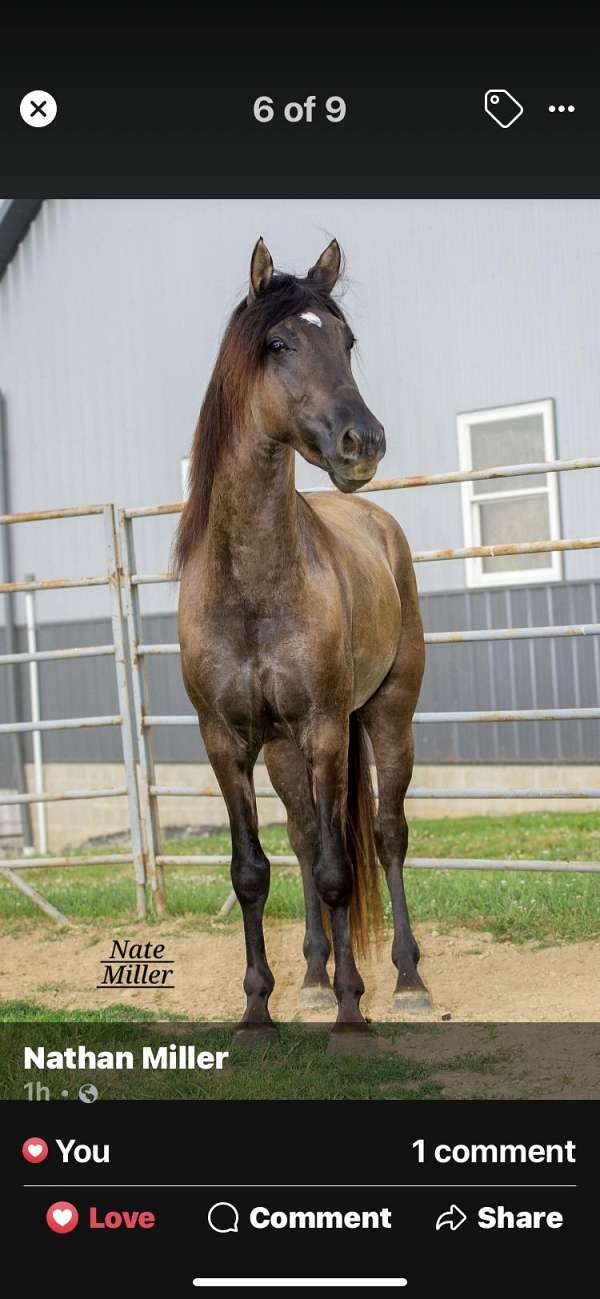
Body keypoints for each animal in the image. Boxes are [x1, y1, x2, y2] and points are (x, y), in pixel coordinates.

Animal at [174, 239, 425, 1034]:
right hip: (284, 750)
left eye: (347, 342)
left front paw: (352, 1011)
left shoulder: (324, 727)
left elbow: (341, 871)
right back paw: (314, 976)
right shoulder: (226, 741)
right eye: (279, 343)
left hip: (385, 716)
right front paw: (260, 1008)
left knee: (385, 833)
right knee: (306, 837)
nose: (362, 442)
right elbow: (253, 870)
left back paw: (407, 980)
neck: (253, 587)